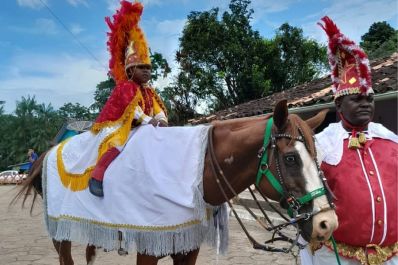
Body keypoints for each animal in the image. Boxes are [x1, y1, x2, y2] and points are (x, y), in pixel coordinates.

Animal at [16, 99, 338, 264]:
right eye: (291, 159)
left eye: (318, 155)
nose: (327, 223)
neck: (193, 172)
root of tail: (47, 153)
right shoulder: (149, 246)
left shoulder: (186, 248)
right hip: (60, 231)